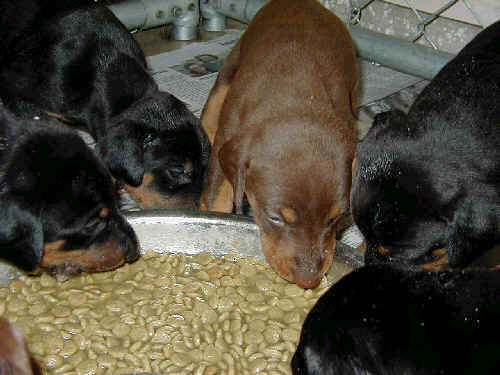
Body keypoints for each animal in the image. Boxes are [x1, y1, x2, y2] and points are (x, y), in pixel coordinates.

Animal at [200, 0, 360, 290]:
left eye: (335, 217)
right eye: (275, 218)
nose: (309, 281)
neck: (297, 98)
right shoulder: (225, 142)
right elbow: (216, 200)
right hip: (229, 70)